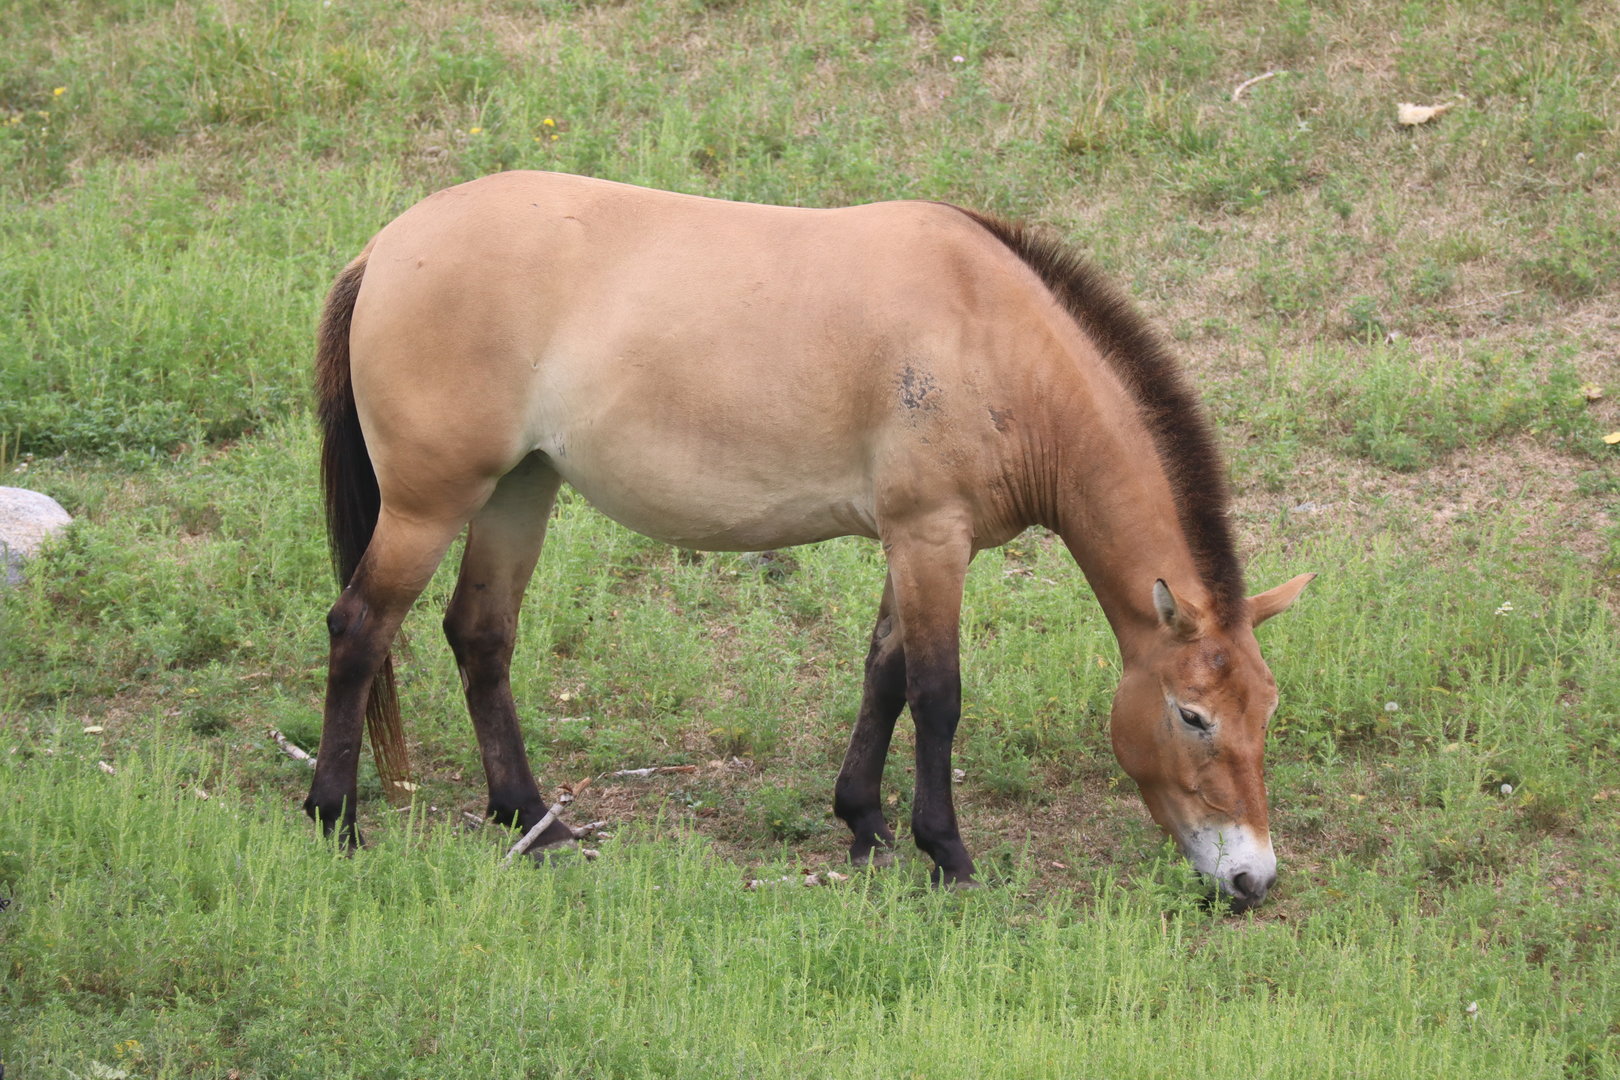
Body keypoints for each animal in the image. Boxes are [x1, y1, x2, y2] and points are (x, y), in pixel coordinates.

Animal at [306, 171, 1312, 910]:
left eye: (1266, 711)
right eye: (1193, 716)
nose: (1252, 879)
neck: (989, 338)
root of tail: (384, 248)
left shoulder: (918, 544)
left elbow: (886, 676)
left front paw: (863, 823)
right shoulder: (929, 538)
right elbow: (938, 695)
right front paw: (948, 855)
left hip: (519, 491)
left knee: (480, 637)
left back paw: (530, 821)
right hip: (429, 506)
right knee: (360, 628)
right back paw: (334, 821)